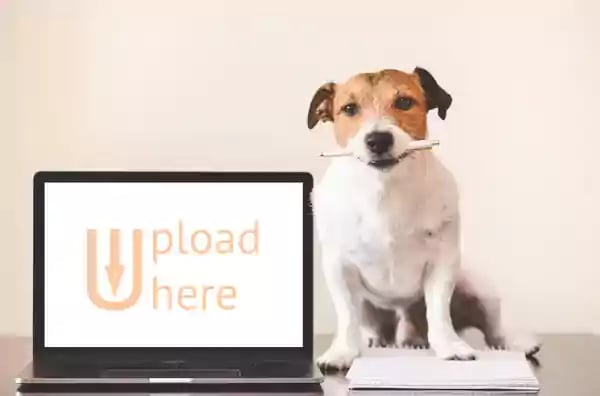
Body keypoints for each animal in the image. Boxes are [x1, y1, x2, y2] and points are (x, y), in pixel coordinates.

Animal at [308, 65, 540, 372]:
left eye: (404, 102)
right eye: (349, 108)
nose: (378, 140)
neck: (385, 189)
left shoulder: (443, 263)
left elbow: (439, 312)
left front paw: (450, 347)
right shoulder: (339, 267)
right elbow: (347, 314)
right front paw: (342, 351)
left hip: (480, 290)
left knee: (493, 329)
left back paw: (513, 344)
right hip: (370, 306)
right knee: (372, 325)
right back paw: (378, 340)